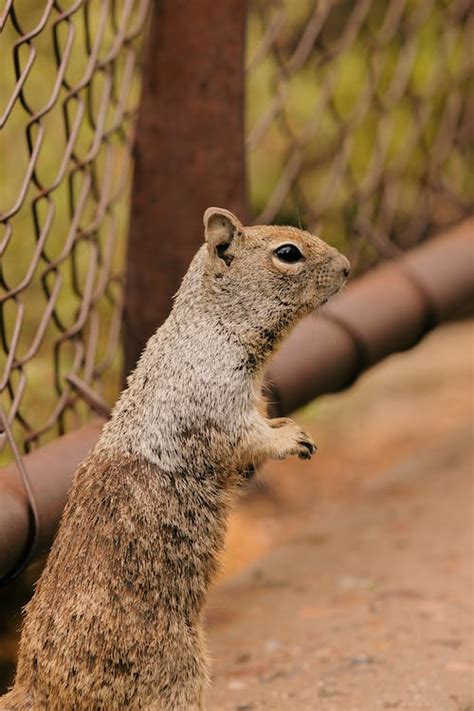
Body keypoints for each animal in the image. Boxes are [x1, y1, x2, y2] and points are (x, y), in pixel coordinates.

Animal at [0, 207, 348, 711]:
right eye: (288, 253)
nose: (347, 268)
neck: (213, 326)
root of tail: (35, 690)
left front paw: (286, 426)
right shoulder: (215, 402)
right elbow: (246, 438)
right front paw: (290, 438)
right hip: (178, 672)